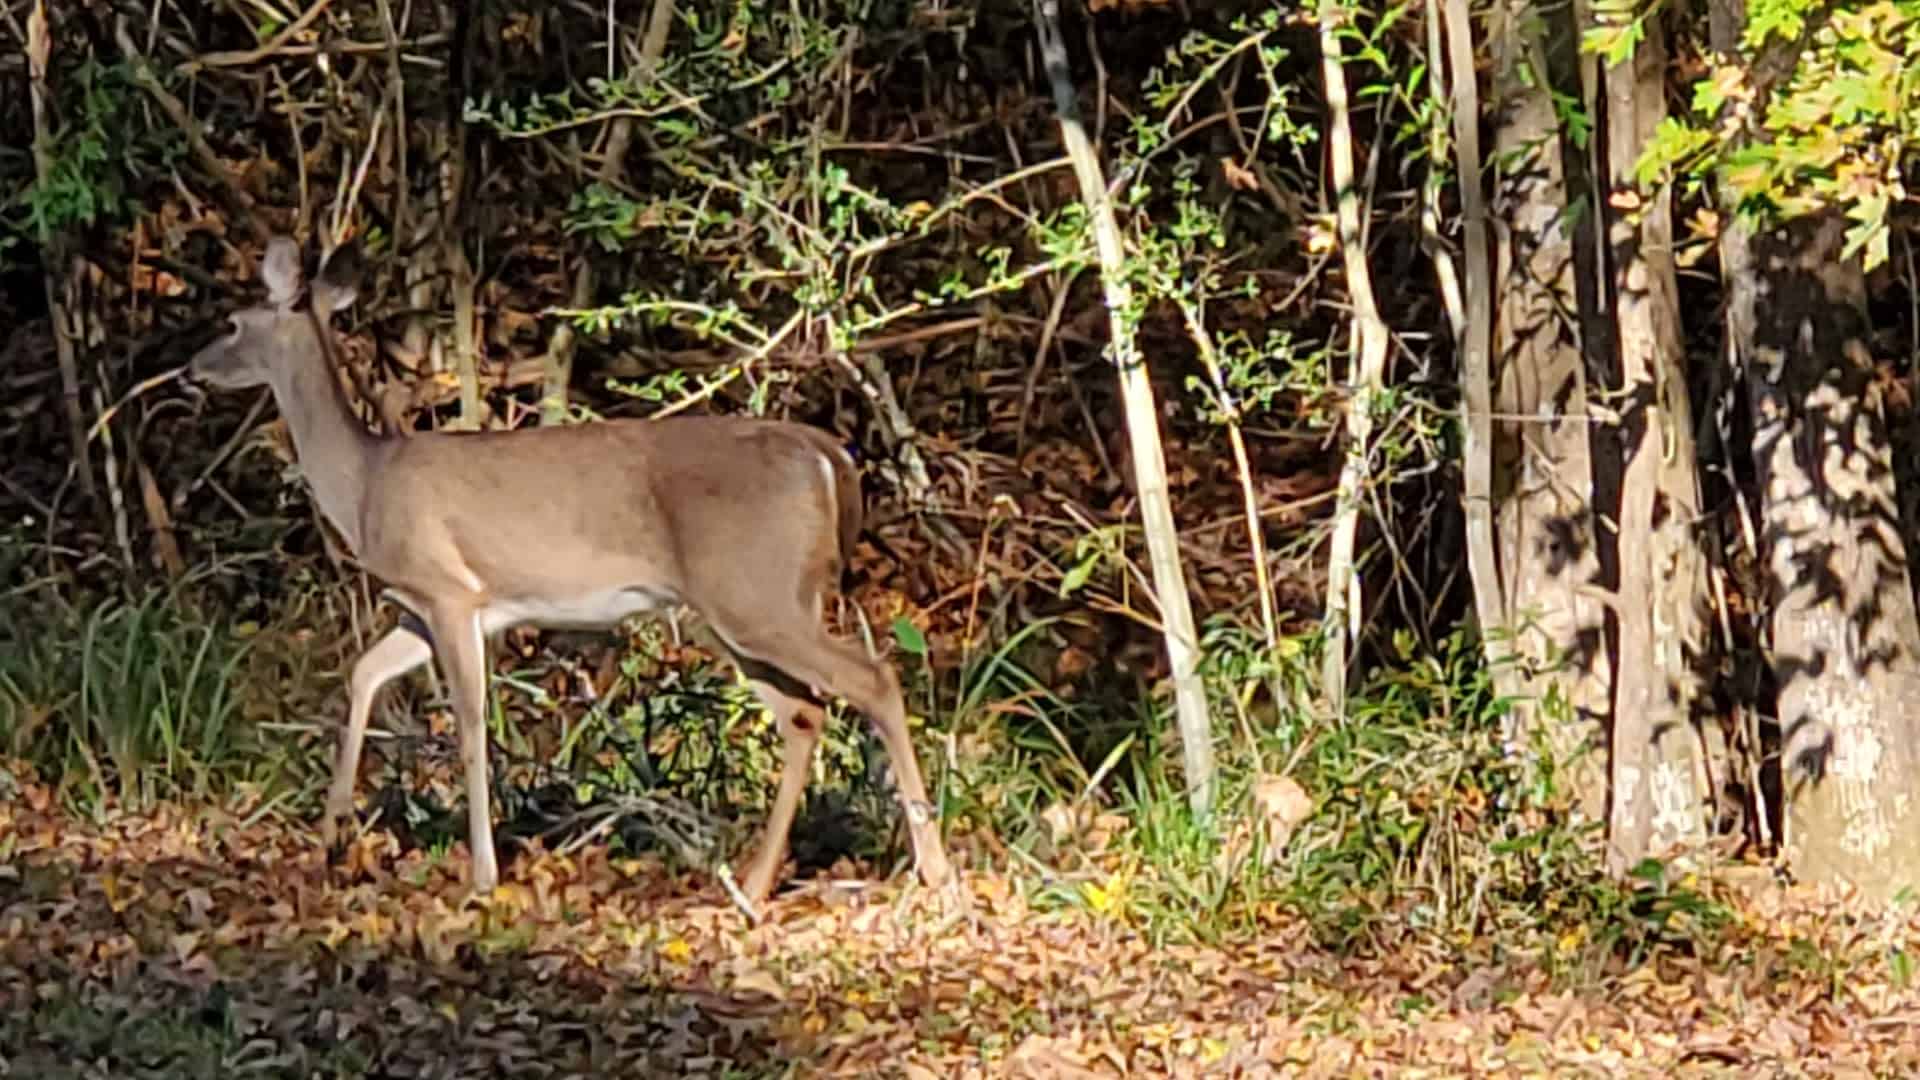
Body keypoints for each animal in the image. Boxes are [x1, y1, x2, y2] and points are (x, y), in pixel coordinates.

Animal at [188, 235, 954, 908]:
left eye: (232, 323)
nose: (192, 367)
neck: (365, 486)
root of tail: (829, 455)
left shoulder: (452, 592)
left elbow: (470, 723)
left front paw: (483, 874)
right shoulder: (421, 606)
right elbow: (363, 673)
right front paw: (333, 833)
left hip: (756, 593)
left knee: (872, 679)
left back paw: (933, 870)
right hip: (748, 606)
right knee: (804, 713)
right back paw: (755, 881)